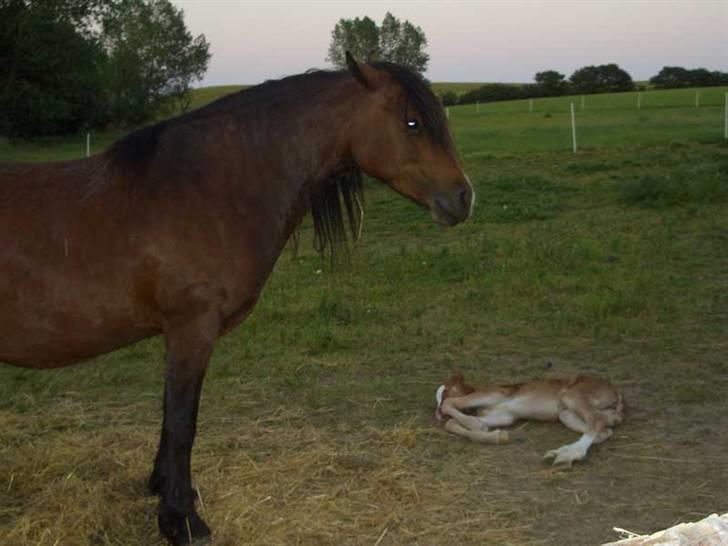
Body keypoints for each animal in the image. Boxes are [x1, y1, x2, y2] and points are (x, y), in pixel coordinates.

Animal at [0, 53, 474, 540]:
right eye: (413, 122)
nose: (463, 197)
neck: (207, 189)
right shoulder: (191, 330)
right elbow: (182, 422)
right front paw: (181, 521)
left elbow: (170, 418)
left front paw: (169, 492)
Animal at [436, 370, 624, 464]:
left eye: (445, 391)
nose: (437, 413)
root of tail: (616, 392)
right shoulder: (504, 415)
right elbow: (452, 422)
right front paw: (494, 434)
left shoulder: (496, 393)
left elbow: (451, 405)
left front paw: (475, 424)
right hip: (566, 413)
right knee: (604, 430)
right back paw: (560, 452)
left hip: (572, 396)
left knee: (597, 421)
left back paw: (567, 455)